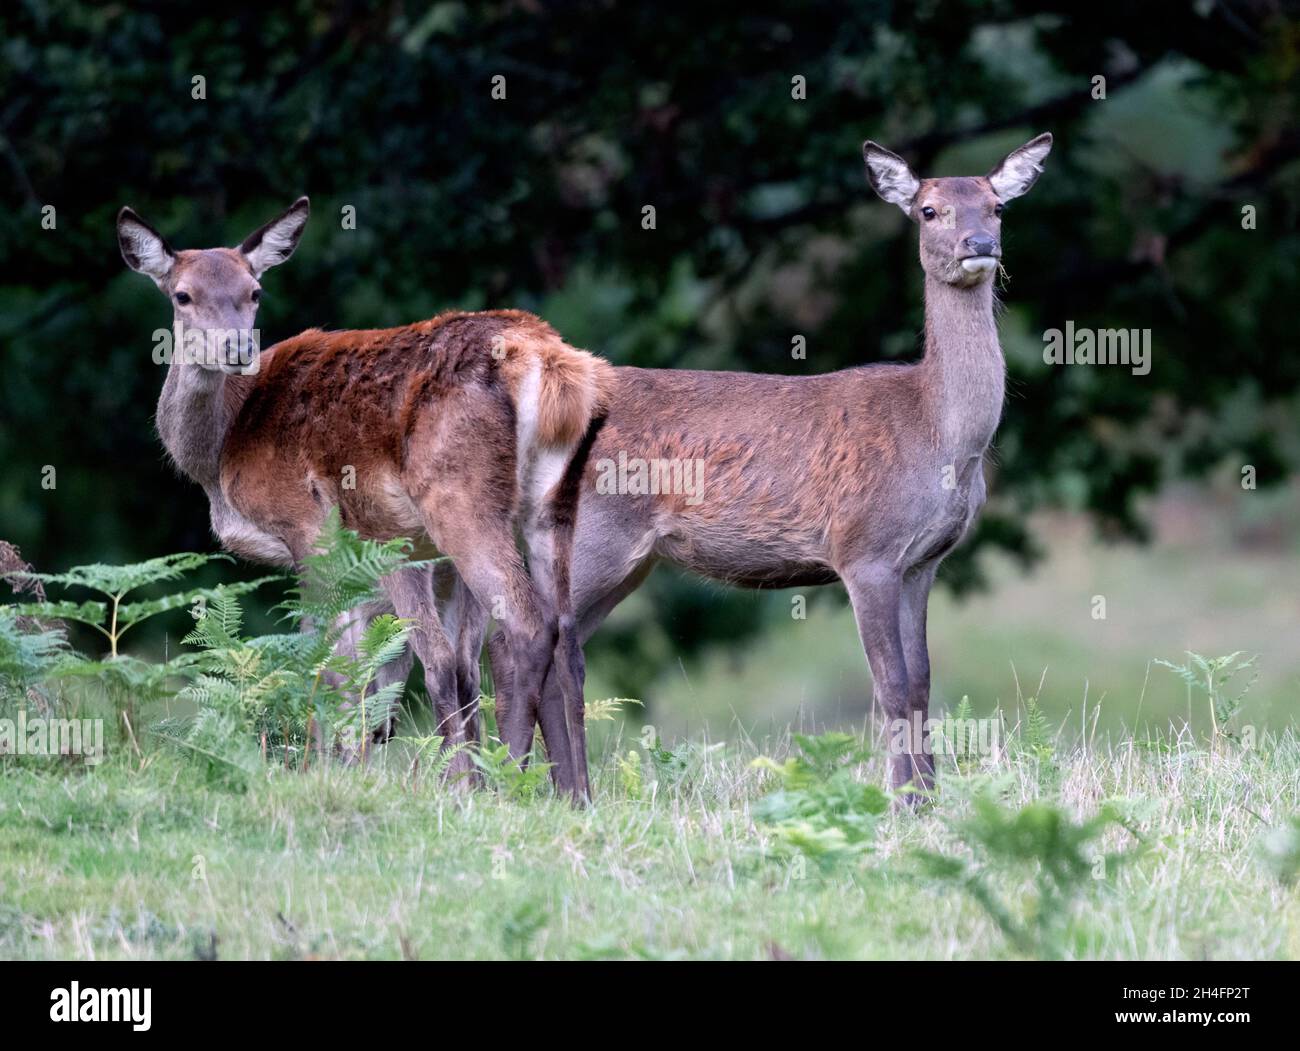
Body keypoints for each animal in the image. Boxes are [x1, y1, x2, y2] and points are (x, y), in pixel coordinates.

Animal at [115, 199, 613, 790]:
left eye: (254, 291)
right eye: (182, 295)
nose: (236, 348)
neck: (220, 453)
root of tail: (544, 360)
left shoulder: (306, 525)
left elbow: (326, 660)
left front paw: (327, 770)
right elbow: (366, 667)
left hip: (453, 500)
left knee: (518, 627)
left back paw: (504, 781)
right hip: (551, 504)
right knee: (565, 639)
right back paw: (571, 792)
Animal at [483, 131, 1050, 806]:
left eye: (997, 206)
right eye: (928, 210)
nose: (980, 246)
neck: (939, 439)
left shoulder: (923, 562)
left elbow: (920, 684)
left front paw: (929, 801)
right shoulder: (863, 548)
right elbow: (889, 684)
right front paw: (900, 804)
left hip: (607, 555)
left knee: (542, 643)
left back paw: (552, 791)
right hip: (597, 535)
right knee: (531, 642)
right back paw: (542, 790)